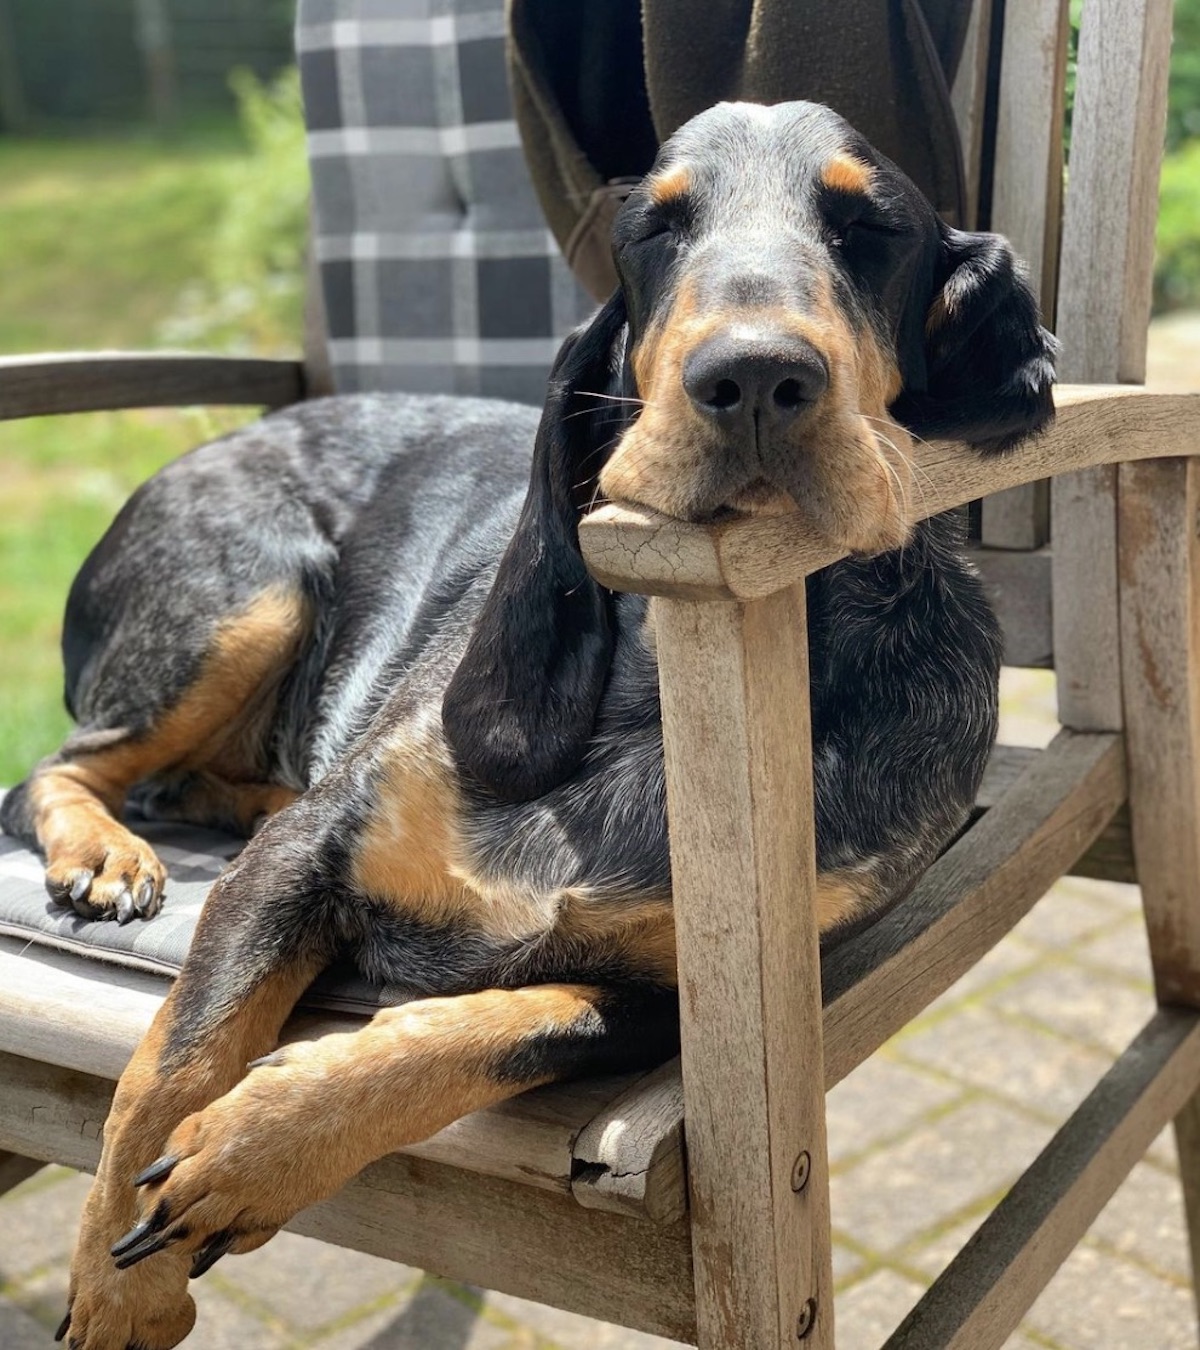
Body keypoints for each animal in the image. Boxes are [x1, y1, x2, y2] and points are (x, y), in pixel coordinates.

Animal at [0, 102, 1052, 1350]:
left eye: (872, 228)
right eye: (654, 228)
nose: (754, 376)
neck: (652, 700)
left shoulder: (678, 1008)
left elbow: (488, 1028)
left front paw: (252, 1152)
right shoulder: (300, 857)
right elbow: (174, 1061)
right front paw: (123, 1291)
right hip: (251, 596)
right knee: (61, 771)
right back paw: (106, 853)